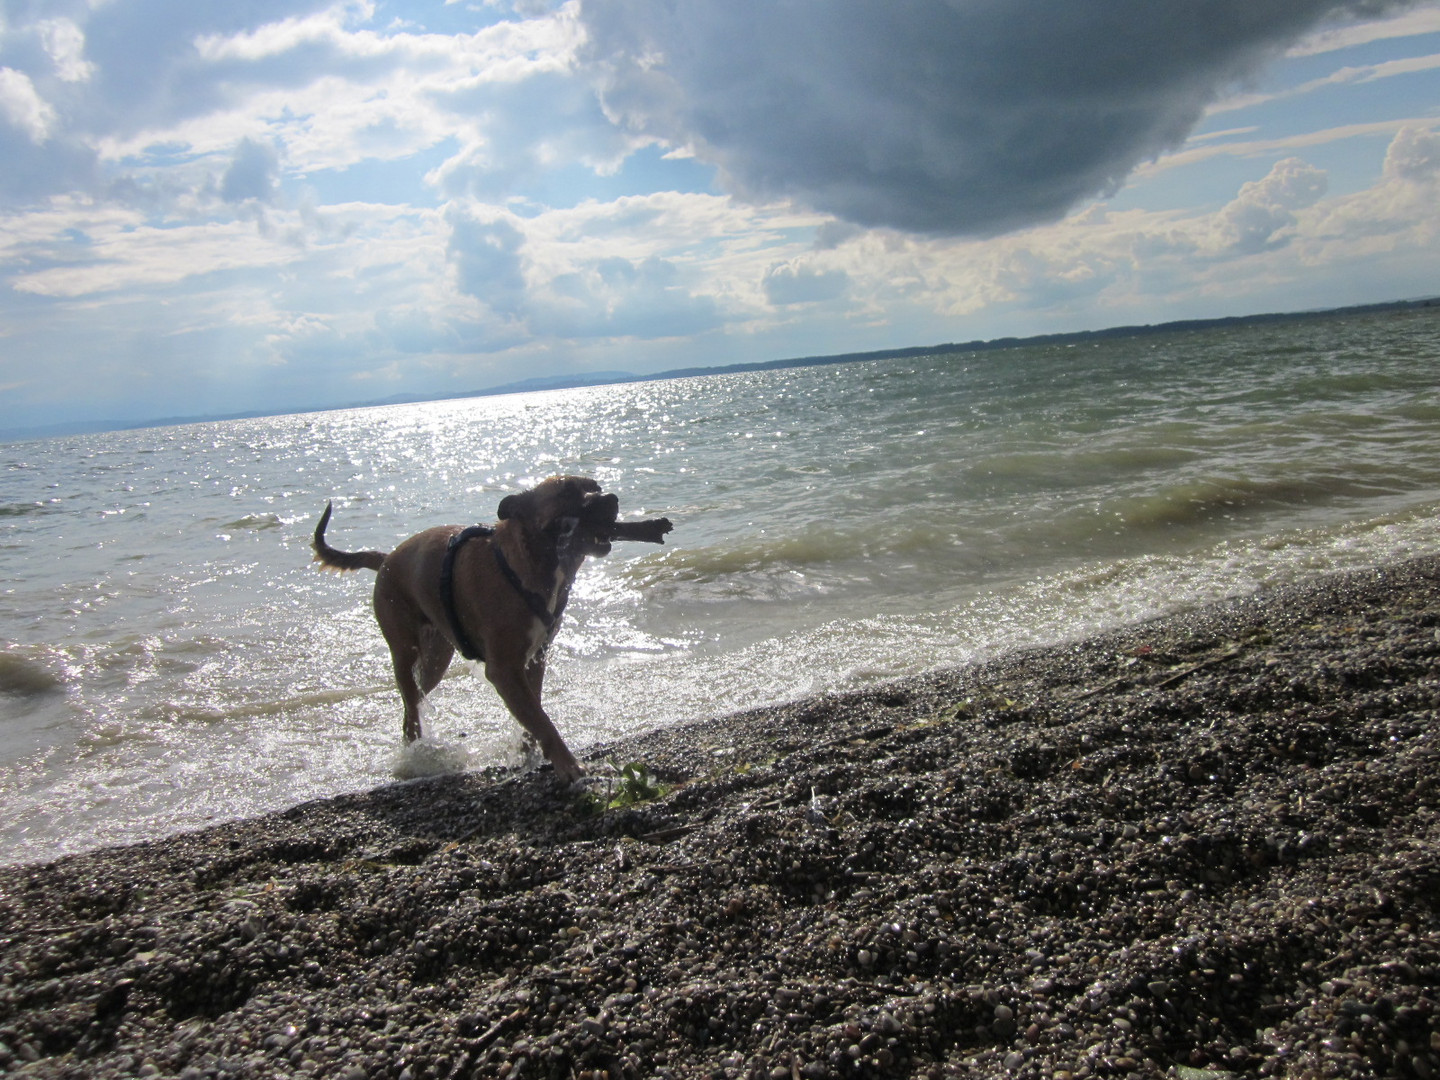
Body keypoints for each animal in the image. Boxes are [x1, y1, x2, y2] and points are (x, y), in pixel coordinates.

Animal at [312, 478, 671, 783]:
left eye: (595, 486)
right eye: (567, 491)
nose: (612, 498)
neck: (530, 564)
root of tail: (386, 558)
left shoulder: (534, 660)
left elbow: (533, 712)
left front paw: (529, 755)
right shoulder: (504, 669)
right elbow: (541, 719)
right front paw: (569, 765)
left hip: (437, 657)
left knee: (416, 693)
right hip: (404, 648)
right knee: (410, 701)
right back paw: (415, 755)